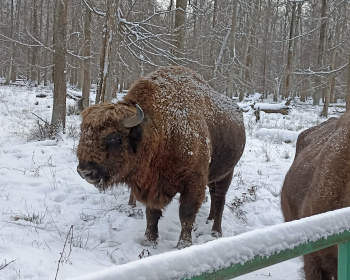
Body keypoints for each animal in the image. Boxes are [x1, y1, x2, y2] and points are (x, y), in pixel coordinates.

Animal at [76, 66, 246, 248]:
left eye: (113, 138)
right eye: (83, 131)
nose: (84, 171)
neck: (161, 130)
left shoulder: (194, 180)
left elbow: (186, 213)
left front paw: (183, 244)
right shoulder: (151, 184)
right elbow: (152, 214)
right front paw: (149, 241)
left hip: (227, 172)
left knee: (219, 198)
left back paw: (216, 231)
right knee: (214, 196)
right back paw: (209, 219)